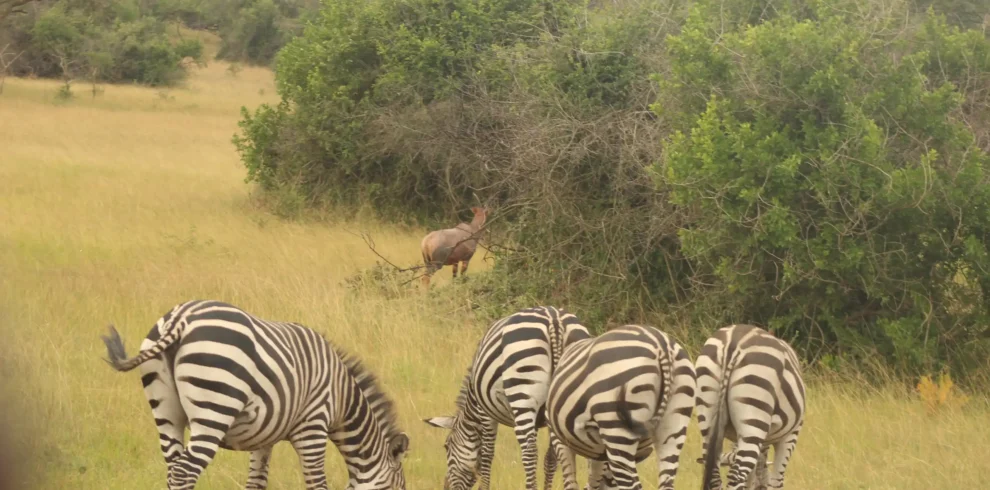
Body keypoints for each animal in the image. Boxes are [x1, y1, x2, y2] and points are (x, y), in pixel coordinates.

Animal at [99, 299, 410, 490]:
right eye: (399, 489)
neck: (342, 398)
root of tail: (180, 318)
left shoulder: (265, 437)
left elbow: (256, 482)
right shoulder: (312, 426)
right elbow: (317, 483)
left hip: (165, 411)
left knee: (173, 466)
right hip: (214, 408)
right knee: (184, 471)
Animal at [424, 306, 591, 490]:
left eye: (446, 446)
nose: (445, 487)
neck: (472, 401)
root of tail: (554, 319)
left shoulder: (485, 412)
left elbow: (487, 454)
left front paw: (484, 487)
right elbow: (551, 458)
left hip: (522, 392)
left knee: (530, 451)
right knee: (559, 452)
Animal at [545, 324, 697, 490]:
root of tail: (662, 345)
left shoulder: (559, 439)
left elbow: (571, 480)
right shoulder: (603, 452)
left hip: (616, 428)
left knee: (631, 485)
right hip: (674, 426)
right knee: (666, 480)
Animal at [695, 324, 806, 490]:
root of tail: (733, 341)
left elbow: (754, 477)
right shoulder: (791, 435)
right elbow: (776, 481)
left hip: (707, 415)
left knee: (715, 477)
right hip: (753, 419)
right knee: (736, 478)